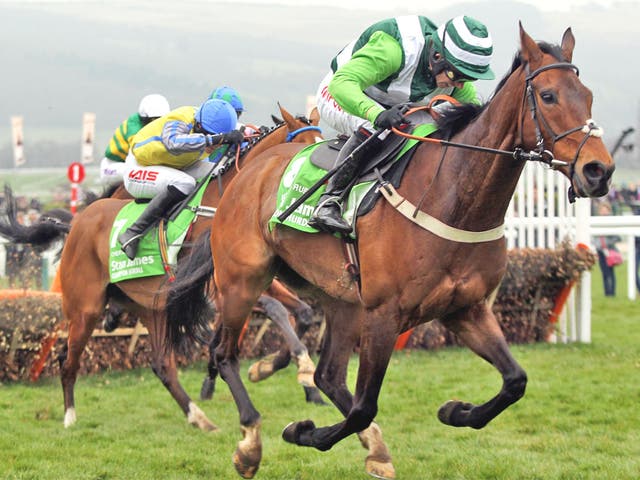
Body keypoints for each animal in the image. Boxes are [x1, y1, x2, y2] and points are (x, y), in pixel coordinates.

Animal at [0, 104, 322, 432]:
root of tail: (78, 220)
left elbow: (298, 312)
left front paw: (283, 372)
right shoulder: (216, 285)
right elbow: (266, 313)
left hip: (150, 306)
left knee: (160, 364)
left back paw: (199, 417)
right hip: (84, 305)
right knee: (69, 359)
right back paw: (70, 417)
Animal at [165, 26, 616, 480]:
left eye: (589, 95)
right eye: (548, 96)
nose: (599, 171)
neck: (453, 198)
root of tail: (245, 173)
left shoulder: (466, 309)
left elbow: (515, 381)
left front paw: (455, 411)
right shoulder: (385, 314)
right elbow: (365, 406)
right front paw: (301, 432)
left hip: (342, 299)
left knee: (328, 375)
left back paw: (364, 440)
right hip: (244, 278)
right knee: (224, 353)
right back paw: (250, 442)